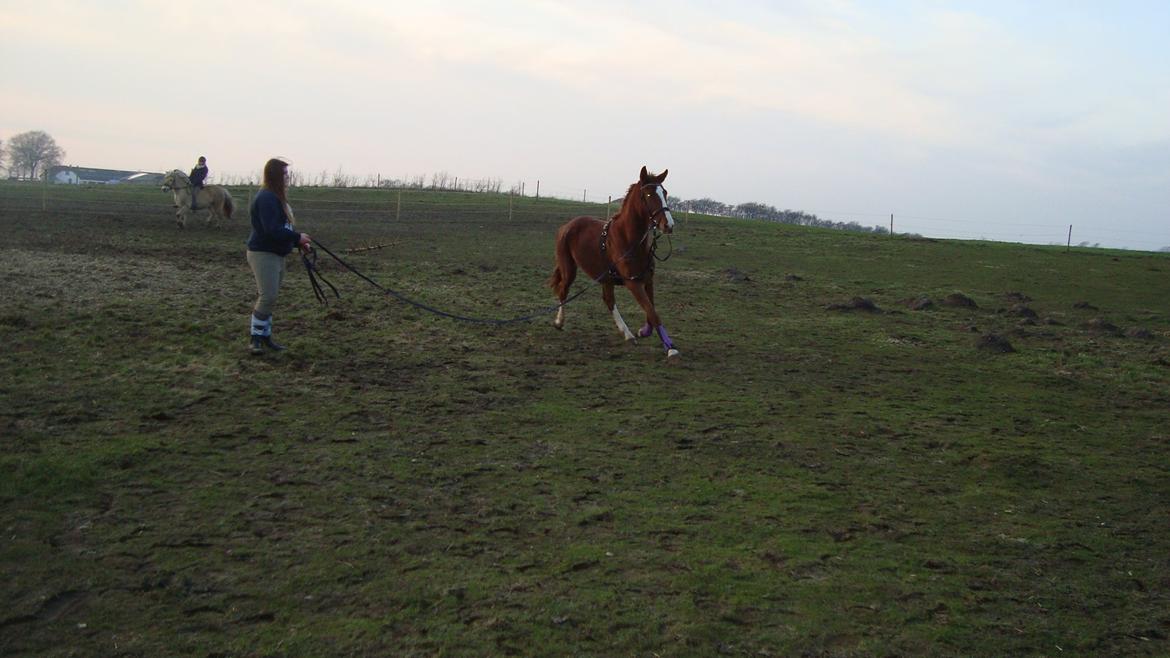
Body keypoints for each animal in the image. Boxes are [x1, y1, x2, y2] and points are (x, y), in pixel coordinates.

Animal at [549, 165, 683, 358]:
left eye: (664, 192)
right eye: (649, 194)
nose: (668, 225)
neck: (629, 241)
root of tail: (567, 226)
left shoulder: (647, 280)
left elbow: (651, 310)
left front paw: (644, 331)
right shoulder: (632, 283)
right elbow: (652, 312)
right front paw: (670, 347)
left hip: (606, 277)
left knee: (609, 300)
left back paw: (627, 334)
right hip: (569, 269)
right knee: (563, 291)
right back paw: (559, 321)